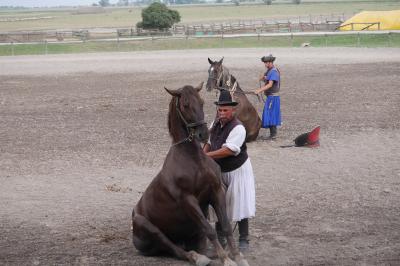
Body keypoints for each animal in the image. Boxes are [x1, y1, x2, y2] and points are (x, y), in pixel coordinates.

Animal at [132, 83, 247, 266]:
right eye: (185, 105)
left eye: (201, 102)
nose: (203, 134)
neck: (193, 160)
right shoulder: (188, 200)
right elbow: (209, 229)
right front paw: (226, 259)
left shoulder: (216, 192)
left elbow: (226, 226)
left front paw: (236, 256)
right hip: (145, 225)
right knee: (172, 247)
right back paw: (196, 257)